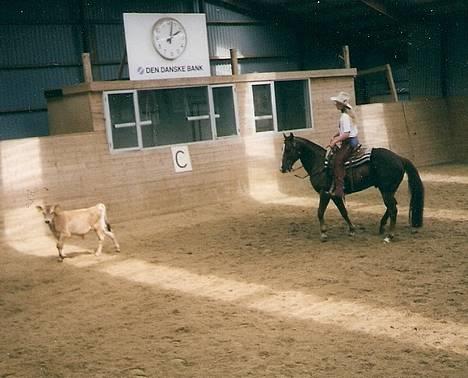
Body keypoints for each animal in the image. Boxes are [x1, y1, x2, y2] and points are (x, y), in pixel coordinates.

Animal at [280, 133, 426, 242]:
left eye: (288, 149)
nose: (282, 168)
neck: (320, 163)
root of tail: (400, 158)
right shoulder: (335, 195)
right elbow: (343, 211)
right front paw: (351, 230)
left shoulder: (324, 193)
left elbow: (320, 212)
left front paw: (323, 234)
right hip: (388, 190)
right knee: (391, 207)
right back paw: (381, 227)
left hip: (386, 190)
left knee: (393, 209)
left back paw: (389, 236)